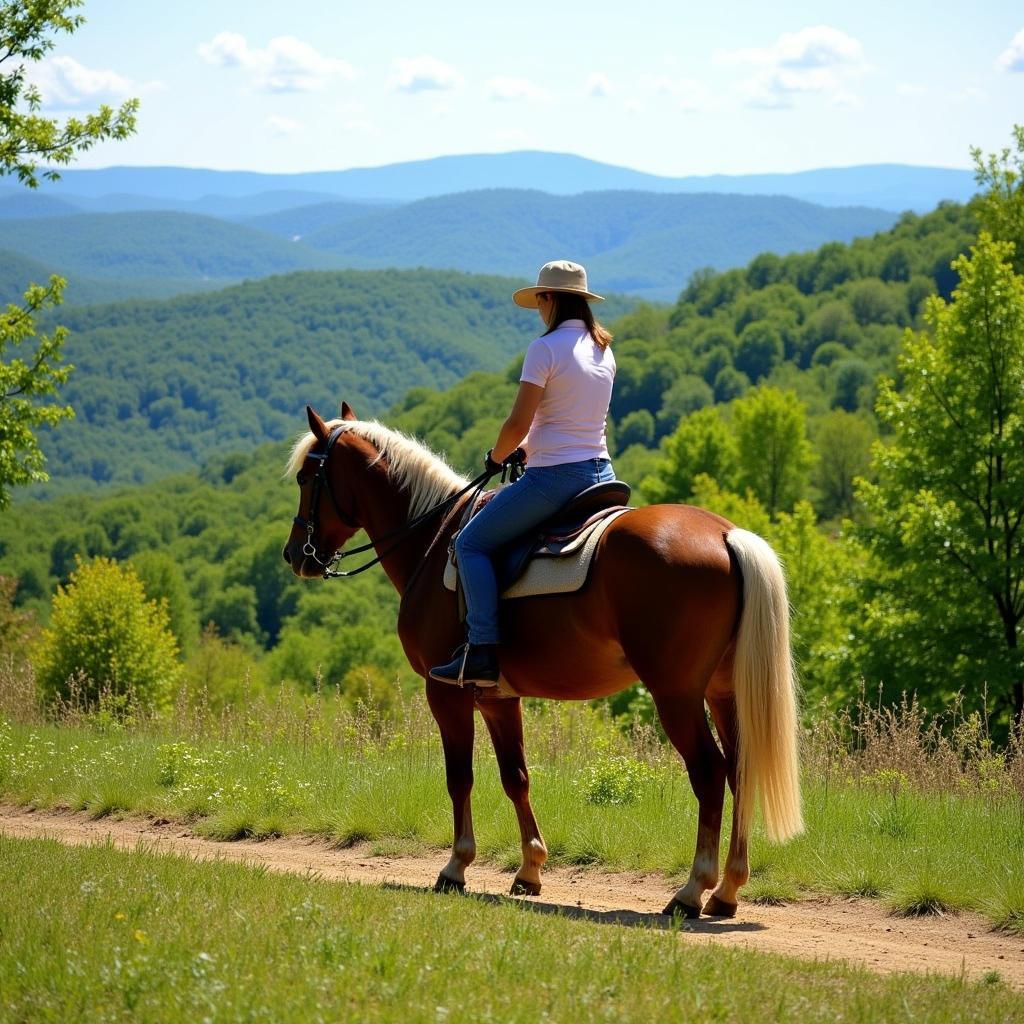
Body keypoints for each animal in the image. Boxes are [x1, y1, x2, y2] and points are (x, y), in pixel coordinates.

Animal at [284, 401, 802, 921]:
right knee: (739, 770)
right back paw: (727, 890)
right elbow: (516, 778)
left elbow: (460, 777)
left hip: (676, 694)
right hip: (722, 692)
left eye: (308, 476)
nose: (294, 555)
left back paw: (692, 890)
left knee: (710, 773)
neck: (433, 540)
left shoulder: (446, 692)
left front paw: (456, 867)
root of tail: (726, 534)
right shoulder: (497, 698)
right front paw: (529, 869)